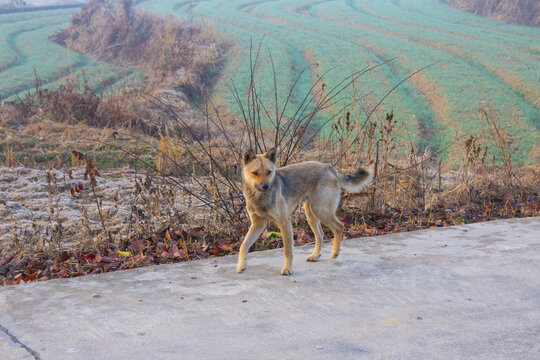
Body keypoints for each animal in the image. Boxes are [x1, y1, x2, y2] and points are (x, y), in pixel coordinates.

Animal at [236, 148, 372, 274]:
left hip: (320, 210)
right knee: (320, 235)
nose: (265, 186)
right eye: (255, 173)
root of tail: (329, 168)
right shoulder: (258, 224)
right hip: (311, 213)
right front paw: (241, 265)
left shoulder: (284, 223)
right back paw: (316, 255)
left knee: (339, 227)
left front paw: (287, 269)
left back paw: (335, 252)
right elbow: (244, 245)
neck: (259, 196)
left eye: (269, 172)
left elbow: (287, 250)